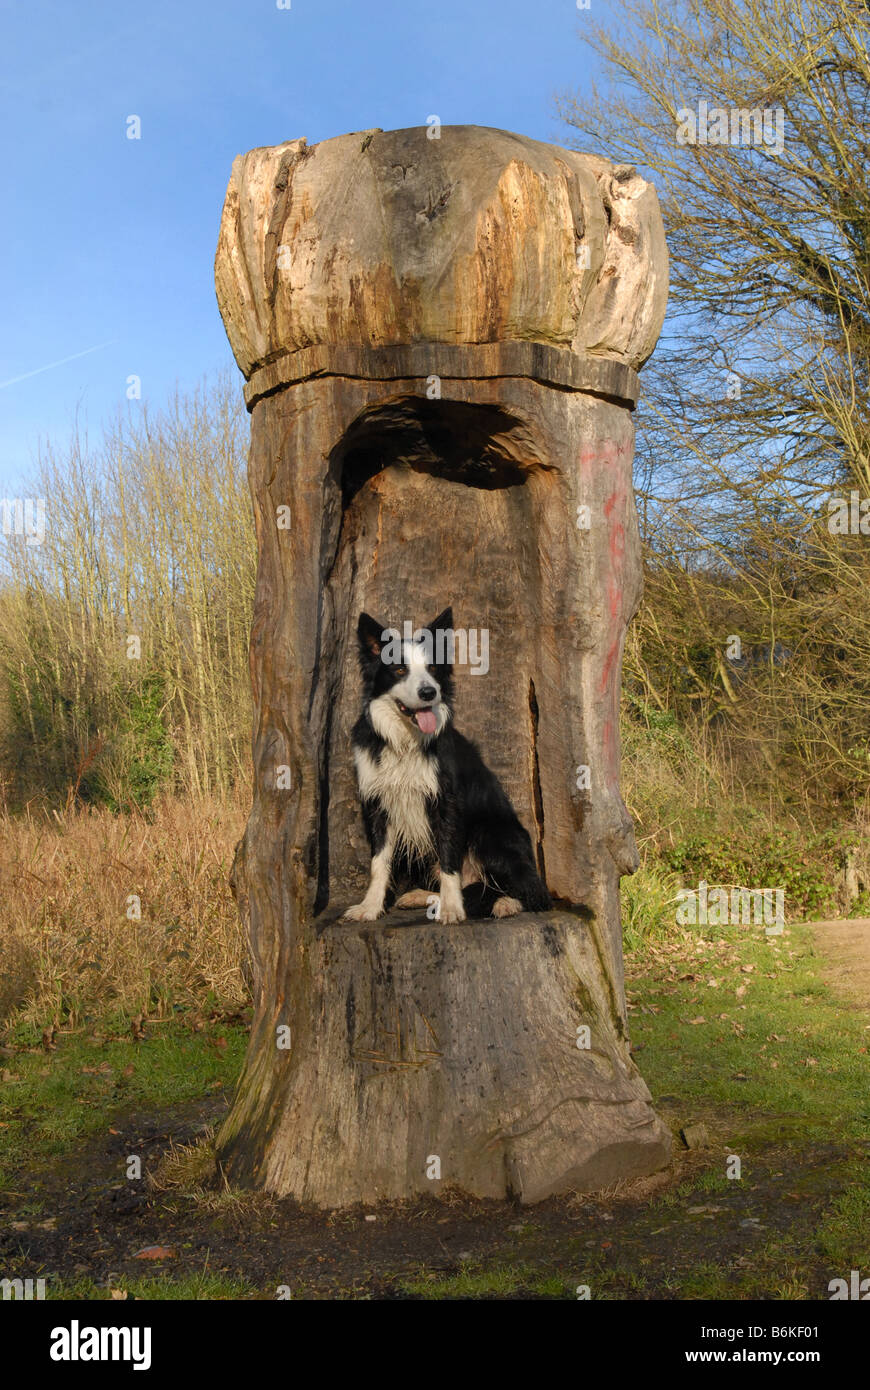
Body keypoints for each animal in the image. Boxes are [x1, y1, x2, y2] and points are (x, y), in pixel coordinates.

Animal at [340, 608, 547, 922]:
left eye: (433, 669)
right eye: (399, 670)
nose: (428, 692)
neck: (406, 741)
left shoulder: (447, 802)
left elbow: (450, 860)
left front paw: (451, 909)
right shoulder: (378, 803)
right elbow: (379, 862)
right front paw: (370, 907)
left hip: (491, 832)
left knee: (528, 891)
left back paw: (505, 903)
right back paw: (422, 897)